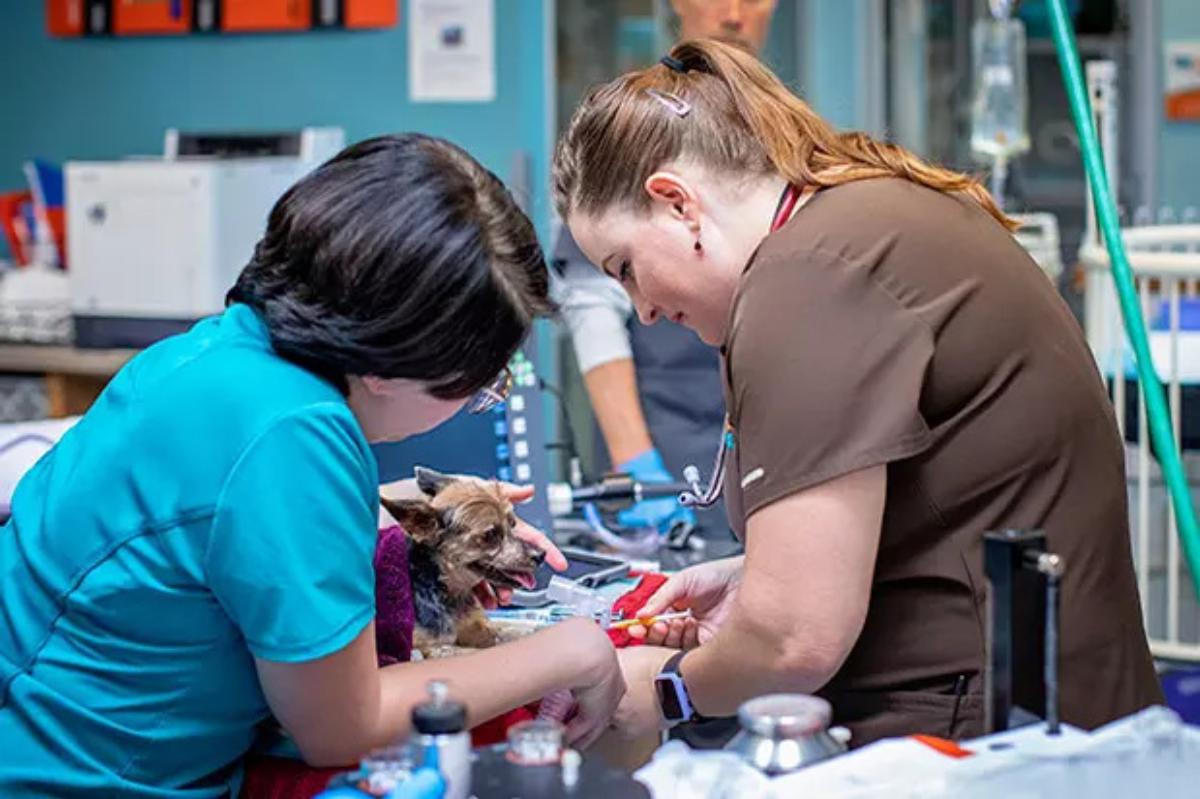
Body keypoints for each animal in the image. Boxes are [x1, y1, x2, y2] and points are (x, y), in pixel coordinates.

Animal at [379, 467, 544, 652]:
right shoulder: (424, 647)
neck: (451, 590)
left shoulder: (480, 627)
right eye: (490, 535)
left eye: (513, 524)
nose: (541, 555)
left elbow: (508, 631)